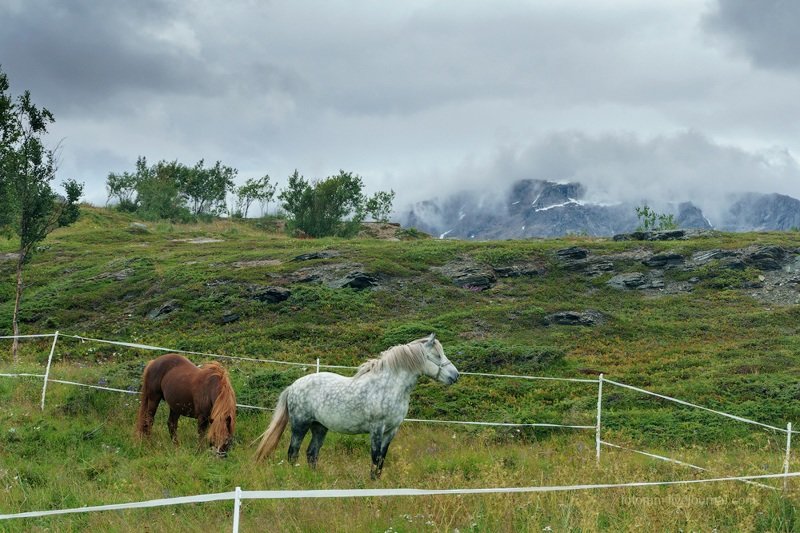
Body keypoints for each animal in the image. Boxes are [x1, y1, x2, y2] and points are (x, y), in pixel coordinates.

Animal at [253, 332, 460, 478]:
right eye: (437, 355)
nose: (455, 376)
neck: (389, 386)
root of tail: (293, 386)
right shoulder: (377, 429)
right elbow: (375, 457)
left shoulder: (391, 430)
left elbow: (382, 459)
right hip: (300, 425)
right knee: (293, 453)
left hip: (319, 427)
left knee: (311, 453)